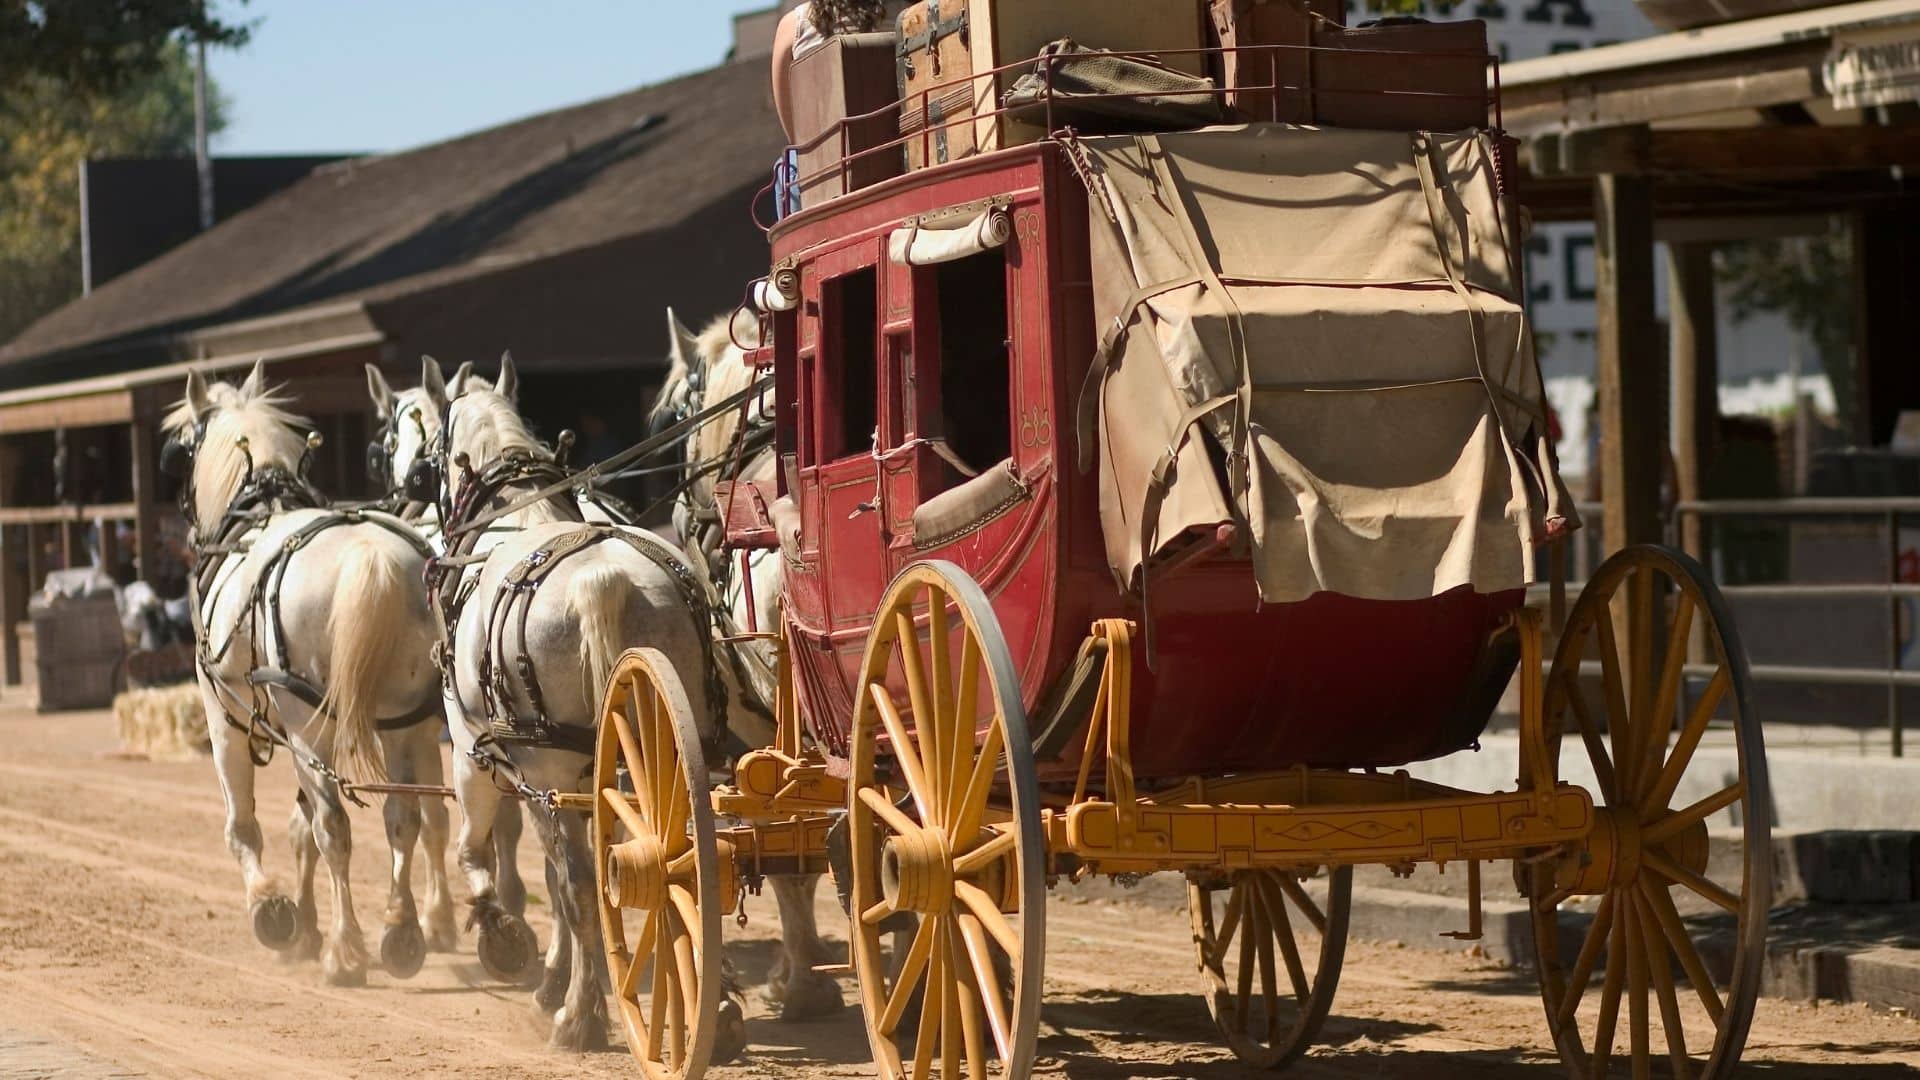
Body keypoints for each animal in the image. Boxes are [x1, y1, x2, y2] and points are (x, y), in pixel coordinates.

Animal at [171, 361, 453, 983]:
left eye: (183, 448)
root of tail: (370, 556)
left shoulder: (222, 717)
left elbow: (244, 826)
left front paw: (273, 909)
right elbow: (302, 828)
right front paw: (304, 922)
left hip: (308, 727)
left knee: (336, 829)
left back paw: (346, 950)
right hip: (405, 723)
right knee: (404, 818)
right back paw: (402, 930)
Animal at [420, 357, 725, 1045]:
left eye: (433, 452)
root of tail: (603, 581)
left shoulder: (480, 754)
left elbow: (484, 855)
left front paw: (506, 937)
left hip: (550, 767)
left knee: (586, 886)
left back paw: (580, 1017)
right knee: (689, 858)